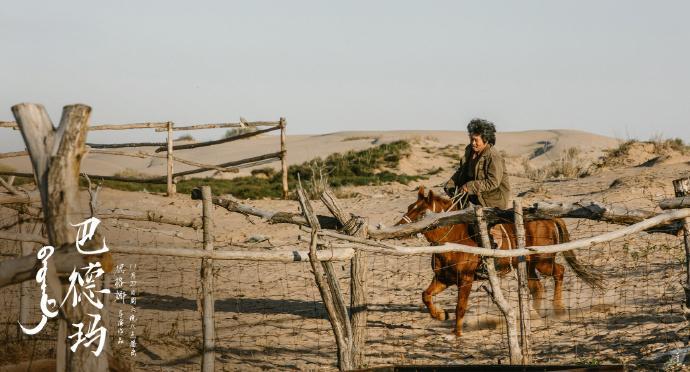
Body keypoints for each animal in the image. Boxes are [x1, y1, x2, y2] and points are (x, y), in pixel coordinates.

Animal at [396, 187, 600, 336]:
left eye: (422, 213)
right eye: (409, 207)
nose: (398, 228)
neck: (453, 239)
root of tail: (550, 218)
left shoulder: (466, 280)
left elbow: (460, 306)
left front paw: (457, 333)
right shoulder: (444, 279)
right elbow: (426, 295)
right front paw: (440, 314)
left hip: (543, 261)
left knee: (559, 271)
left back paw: (557, 309)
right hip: (527, 265)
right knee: (537, 287)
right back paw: (535, 314)